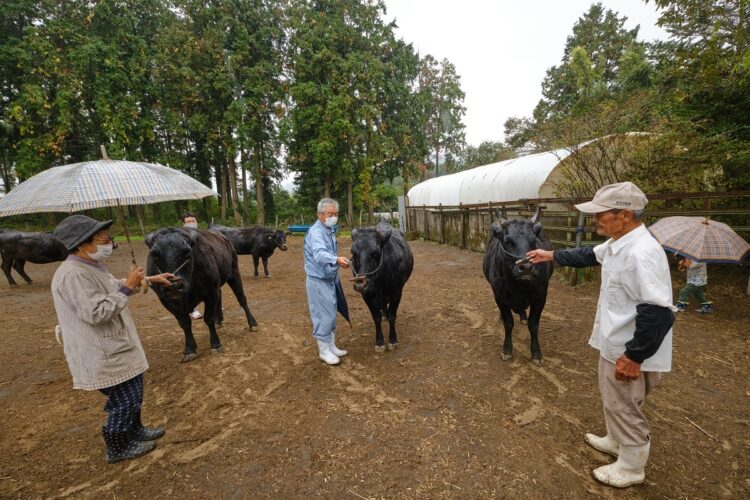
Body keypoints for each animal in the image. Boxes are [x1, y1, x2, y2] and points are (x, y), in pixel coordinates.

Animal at [145, 228, 260, 364]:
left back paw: (252, 323)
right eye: (154, 254)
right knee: (220, 295)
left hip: (233, 272)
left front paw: (215, 344)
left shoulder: (210, 293)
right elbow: (184, 323)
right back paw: (219, 321)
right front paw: (190, 349)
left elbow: (208, 319)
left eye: (187, 252)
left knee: (242, 299)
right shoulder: (166, 301)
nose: (174, 286)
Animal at [350, 223, 414, 352]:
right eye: (353, 253)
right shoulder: (367, 295)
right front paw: (379, 342)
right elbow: (376, 318)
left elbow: (392, 316)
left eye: (376, 252)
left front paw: (393, 340)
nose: (360, 283)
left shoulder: (397, 293)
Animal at [484, 208, 556, 368]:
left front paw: (536, 353)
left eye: (533, 241)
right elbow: (508, 323)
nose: (527, 268)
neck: (518, 287)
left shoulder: (540, 297)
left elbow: (533, 325)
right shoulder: (499, 297)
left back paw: (523, 316)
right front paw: (506, 350)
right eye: (508, 241)